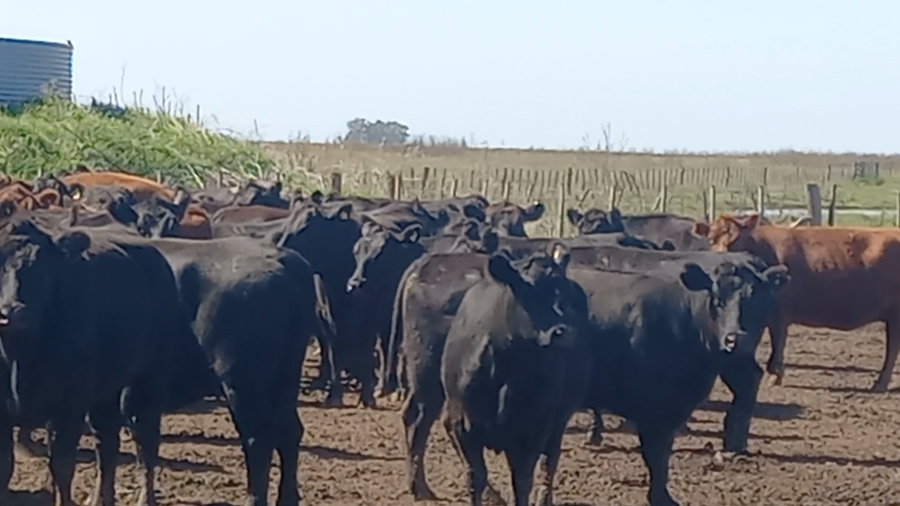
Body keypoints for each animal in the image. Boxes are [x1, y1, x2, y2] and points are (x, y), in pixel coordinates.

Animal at [0, 204, 199, 506]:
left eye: (40, 265)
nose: (11, 311)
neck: (18, 357)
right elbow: (6, 468)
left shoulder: (67, 410)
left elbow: (62, 468)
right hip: (103, 395)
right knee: (107, 447)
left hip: (145, 385)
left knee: (145, 446)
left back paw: (145, 498)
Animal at [441, 245, 592, 506]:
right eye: (528, 292)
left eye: (564, 292)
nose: (565, 331)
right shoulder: (463, 425)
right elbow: (475, 477)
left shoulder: (532, 431)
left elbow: (521, 482)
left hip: (559, 419)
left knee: (550, 461)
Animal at [693, 212, 900, 390]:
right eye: (711, 239)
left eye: (737, 240)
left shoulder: (779, 314)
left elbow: (778, 343)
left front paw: (774, 376)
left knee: (892, 348)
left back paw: (880, 383)